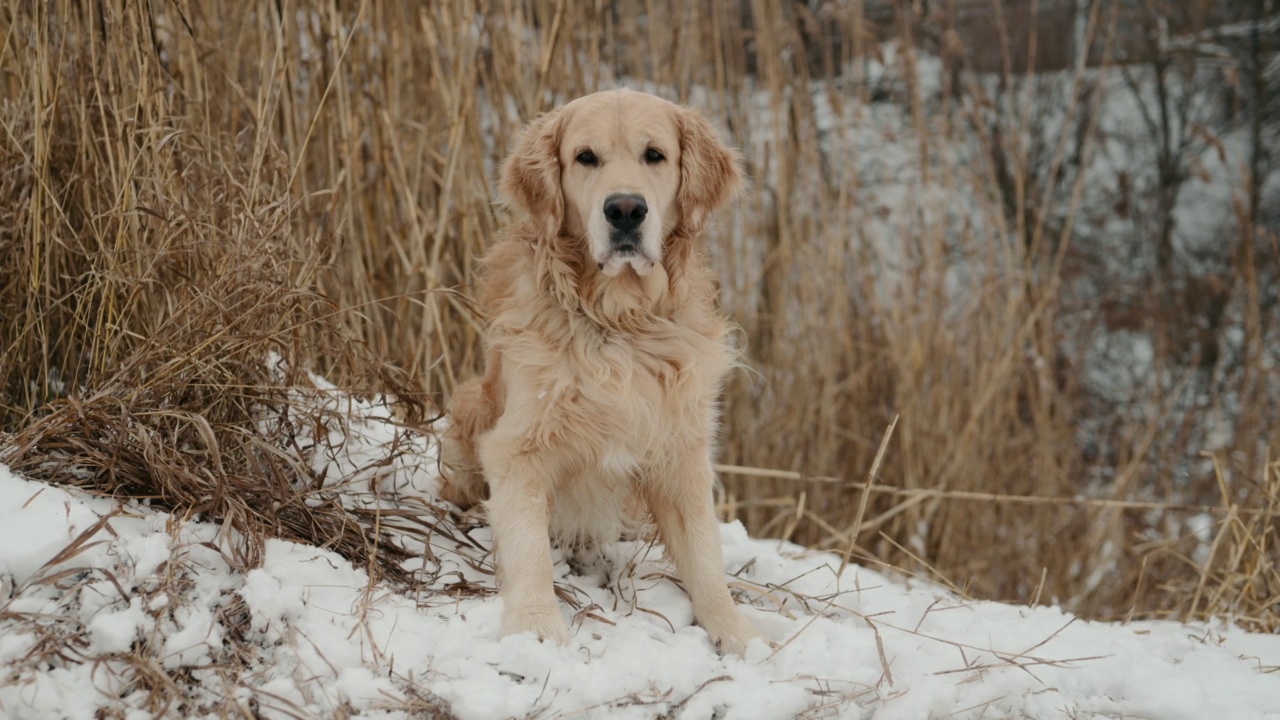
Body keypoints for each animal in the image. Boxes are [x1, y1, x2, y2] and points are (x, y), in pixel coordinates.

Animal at [440, 88, 757, 650]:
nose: (626, 209)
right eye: (585, 157)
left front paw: (735, 632)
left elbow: (705, 555)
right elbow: (528, 548)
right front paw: (535, 627)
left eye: (655, 155)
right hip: (471, 406)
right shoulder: (516, 447)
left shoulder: (680, 452)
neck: (618, 322)